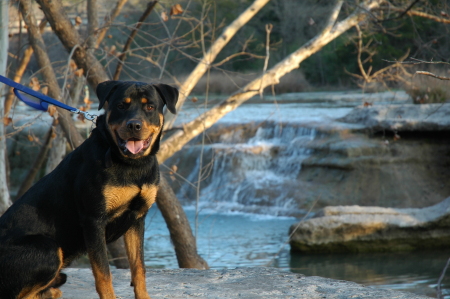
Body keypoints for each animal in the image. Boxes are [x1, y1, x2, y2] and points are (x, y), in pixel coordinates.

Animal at [0, 81, 178, 298]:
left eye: (150, 107)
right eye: (121, 106)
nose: (134, 125)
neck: (131, 165)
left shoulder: (137, 218)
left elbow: (139, 268)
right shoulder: (94, 220)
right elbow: (104, 275)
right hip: (48, 249)